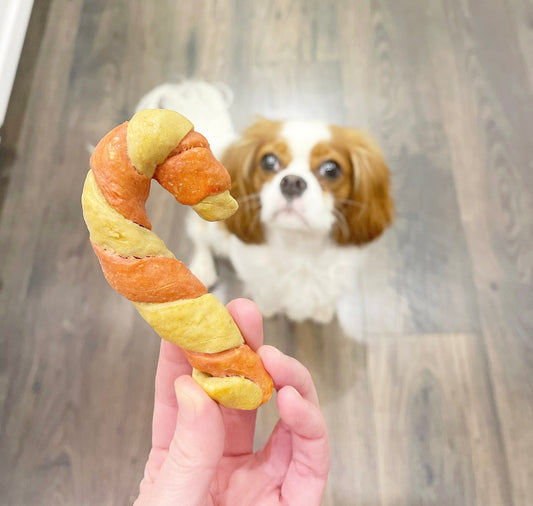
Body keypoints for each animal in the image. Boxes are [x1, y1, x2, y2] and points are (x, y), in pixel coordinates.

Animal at [137, 80, 394, 324]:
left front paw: (322, 311)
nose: (292, 182)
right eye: (268, 161)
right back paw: (203, 267)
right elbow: (267, 295)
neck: (297, 247)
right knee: (200, 236)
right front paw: (267, 309)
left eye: (331, 169)